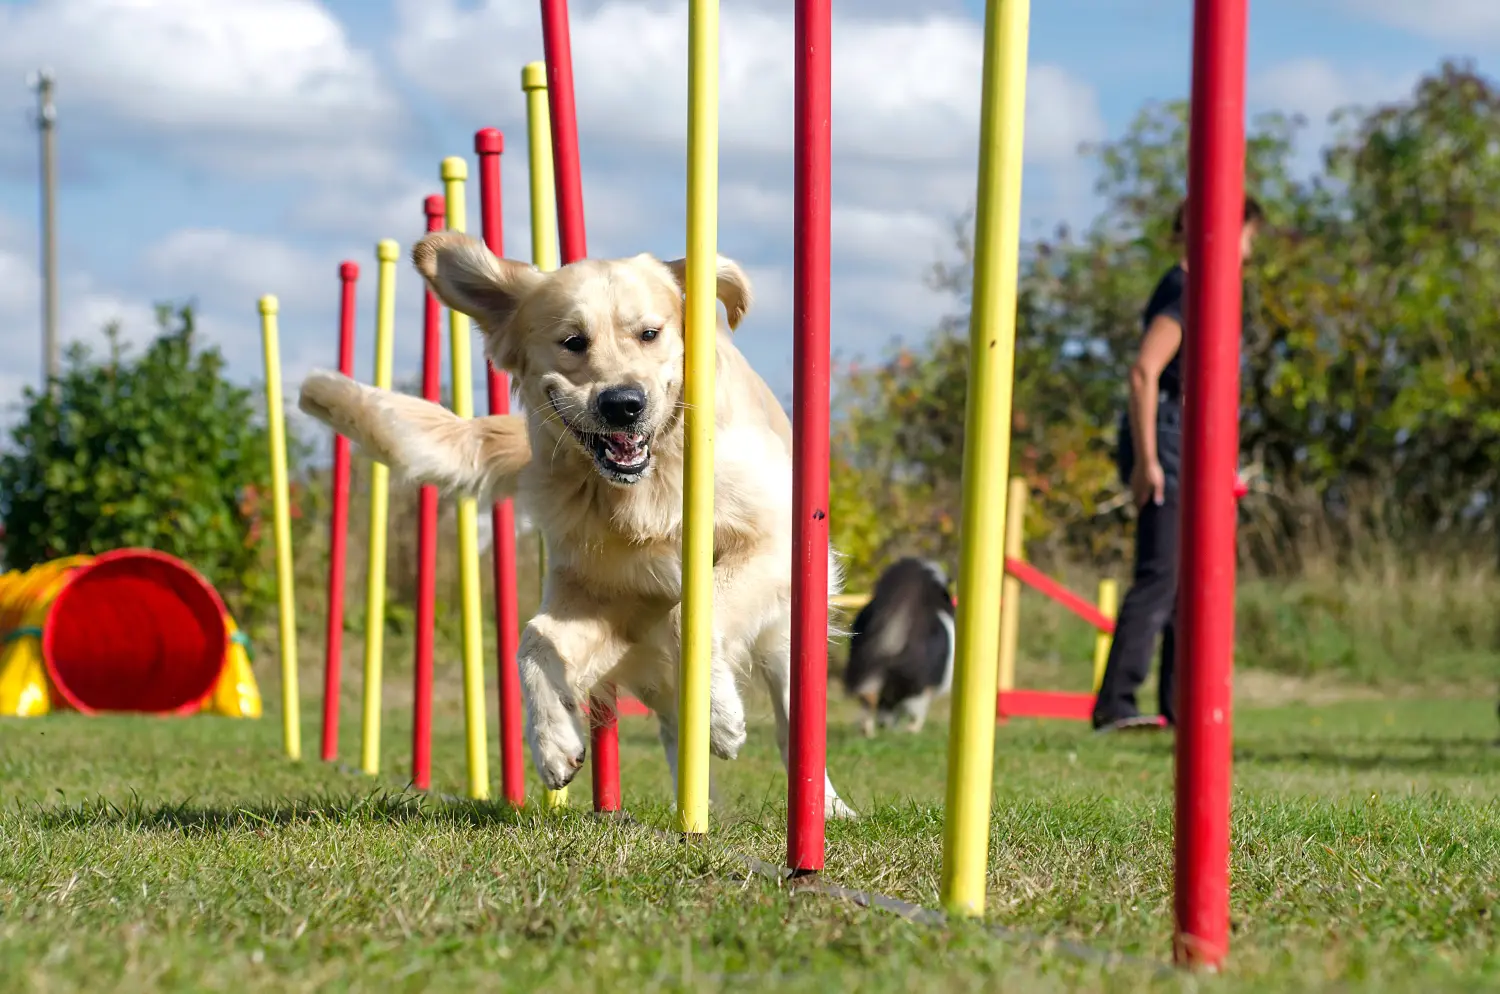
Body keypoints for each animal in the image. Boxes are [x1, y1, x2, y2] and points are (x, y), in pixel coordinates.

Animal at [297, 230, 858, 815]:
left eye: (650, 334)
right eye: (572, 341)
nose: (623, 404)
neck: (645, 489)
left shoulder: (775, 545)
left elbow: (690, 614)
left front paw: (720, 718)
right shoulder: (606, 594)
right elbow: (534, 639)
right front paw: (553, 742)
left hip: (787, 630)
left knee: (792, 715)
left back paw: (825, 807)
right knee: (666, 716)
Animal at [840, 560, 954, 737]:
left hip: (866, 666)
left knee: (868, 698)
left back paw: (869, 731)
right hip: (913, 681)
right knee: (911, 708)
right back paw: (909, 730)